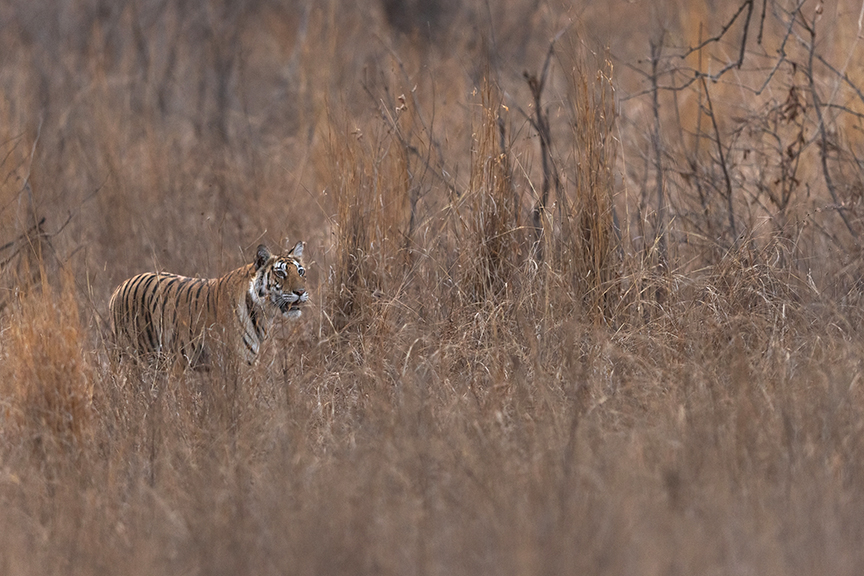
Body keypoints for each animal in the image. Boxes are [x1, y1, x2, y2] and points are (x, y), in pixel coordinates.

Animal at [108, 241, 308, 368]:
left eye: (301, 272)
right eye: (280, 273)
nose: (300, 292)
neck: (263, 313)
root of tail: (118, 288)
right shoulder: (236, 362)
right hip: (136, 356)